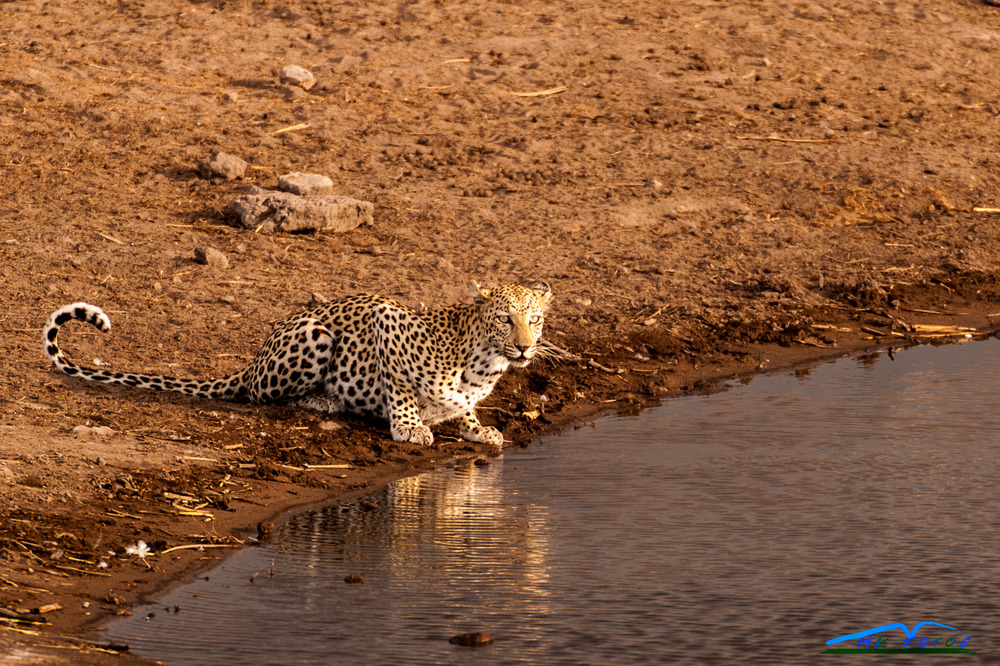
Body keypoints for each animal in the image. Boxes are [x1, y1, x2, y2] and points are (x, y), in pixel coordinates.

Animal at [43, 278, 552, 448]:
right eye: (505, 319)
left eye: (534, 320)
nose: (525, 348)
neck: (483, 365)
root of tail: (254, 359)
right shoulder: (386, 319)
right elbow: (401, 388)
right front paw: (410, 426)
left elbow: (463, 408)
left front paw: (477, 427)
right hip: (314, 336)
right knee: (258, 394)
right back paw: (324, 401)